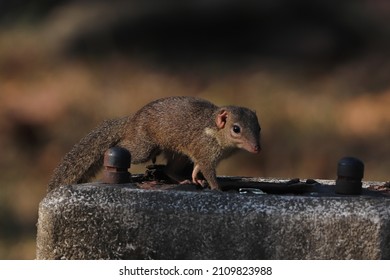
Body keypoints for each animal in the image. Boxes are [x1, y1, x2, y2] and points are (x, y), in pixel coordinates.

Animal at [48, 95, 262, 191]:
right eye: (236, 129)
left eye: (259, 128)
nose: (256, 148)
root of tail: (131, 121)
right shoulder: (205, 151)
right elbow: (208, 171)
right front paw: (217, 188)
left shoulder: (198, 154)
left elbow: (197, 168)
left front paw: (196, 179)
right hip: (143, 148)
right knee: (123, 147)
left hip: (179, 155)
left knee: (169, 169)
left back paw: (182, 180)